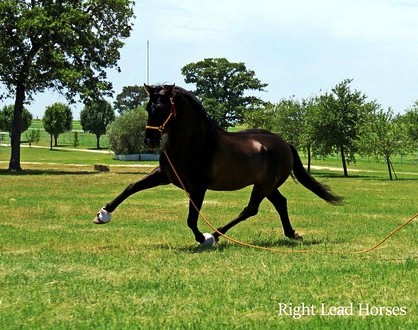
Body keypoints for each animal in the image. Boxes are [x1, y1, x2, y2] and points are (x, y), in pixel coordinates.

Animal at [94, 84, 342, 245]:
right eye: (148, 108)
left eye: (162, 108)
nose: (149, 141)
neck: (194, 142)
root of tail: (284, 143)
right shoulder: (164, 175)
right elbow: (131, 187)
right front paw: (103, 214)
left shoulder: (198, 187)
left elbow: (191, 218)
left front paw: (201, 238)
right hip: (268, 186)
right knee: (280, 203)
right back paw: (291, 233)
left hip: (263, 186)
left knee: (250, 209)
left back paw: (215, 235)